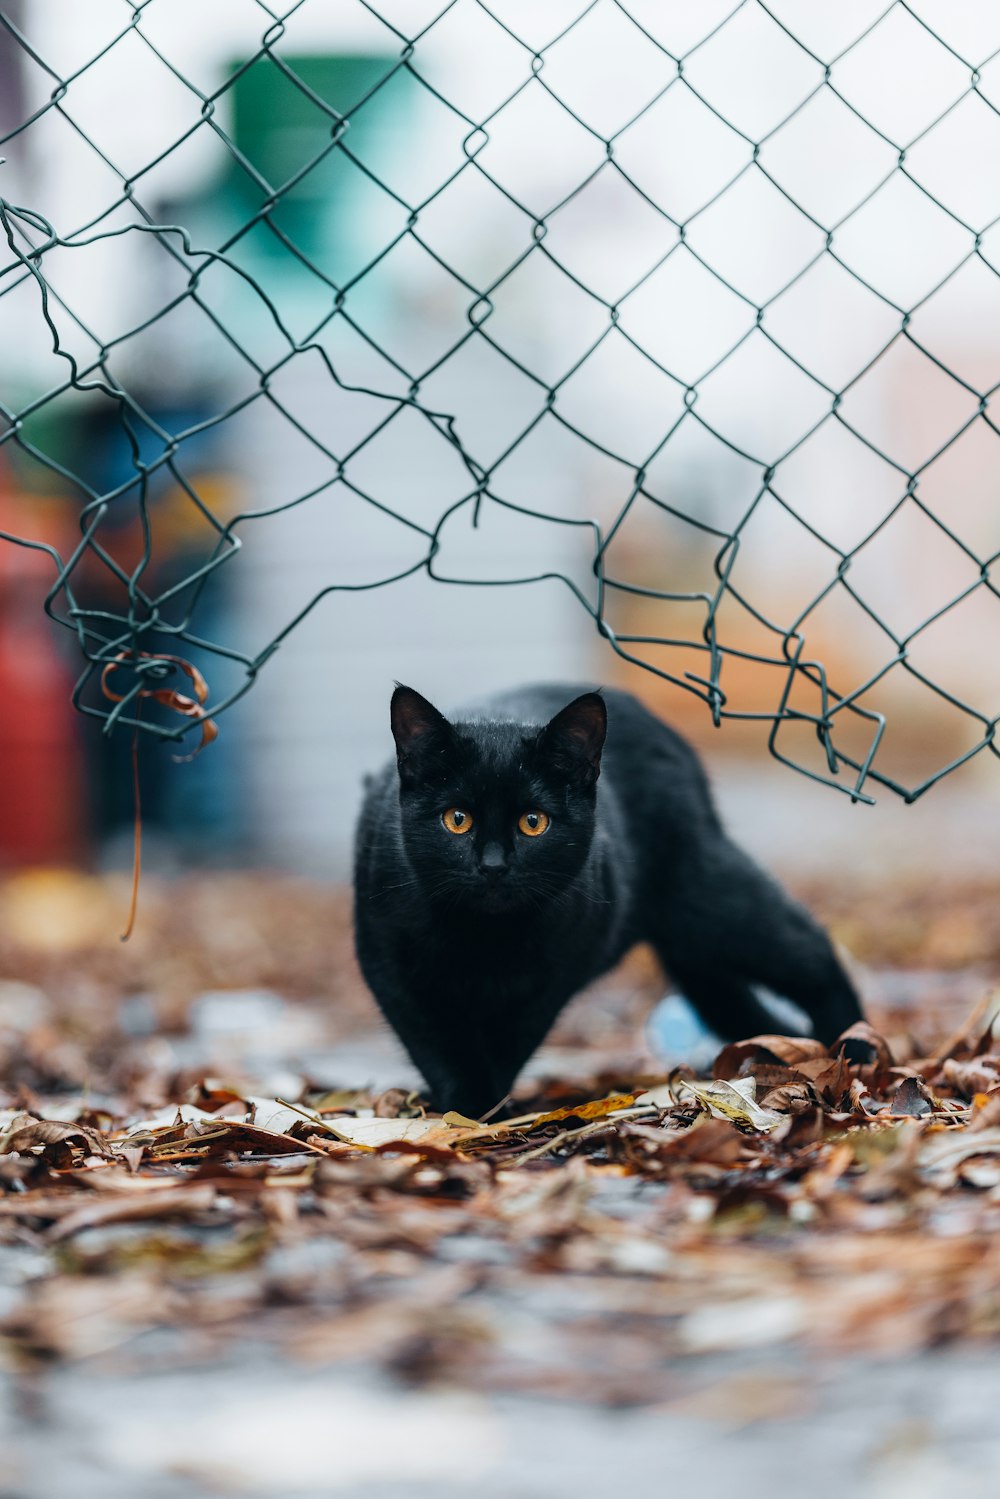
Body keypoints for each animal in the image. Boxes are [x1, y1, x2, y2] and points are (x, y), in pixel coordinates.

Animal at [352, 686, 863, 1121]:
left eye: (533, 822)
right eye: (456, 819)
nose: (493, 865)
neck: (485, 938)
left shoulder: (554, 976)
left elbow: (507, 1042)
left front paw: (483, 1111)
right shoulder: (392, 970)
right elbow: (440, 1045)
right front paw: (466, 1110)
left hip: (706, 900)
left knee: (810, 948)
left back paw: (855, 1050)